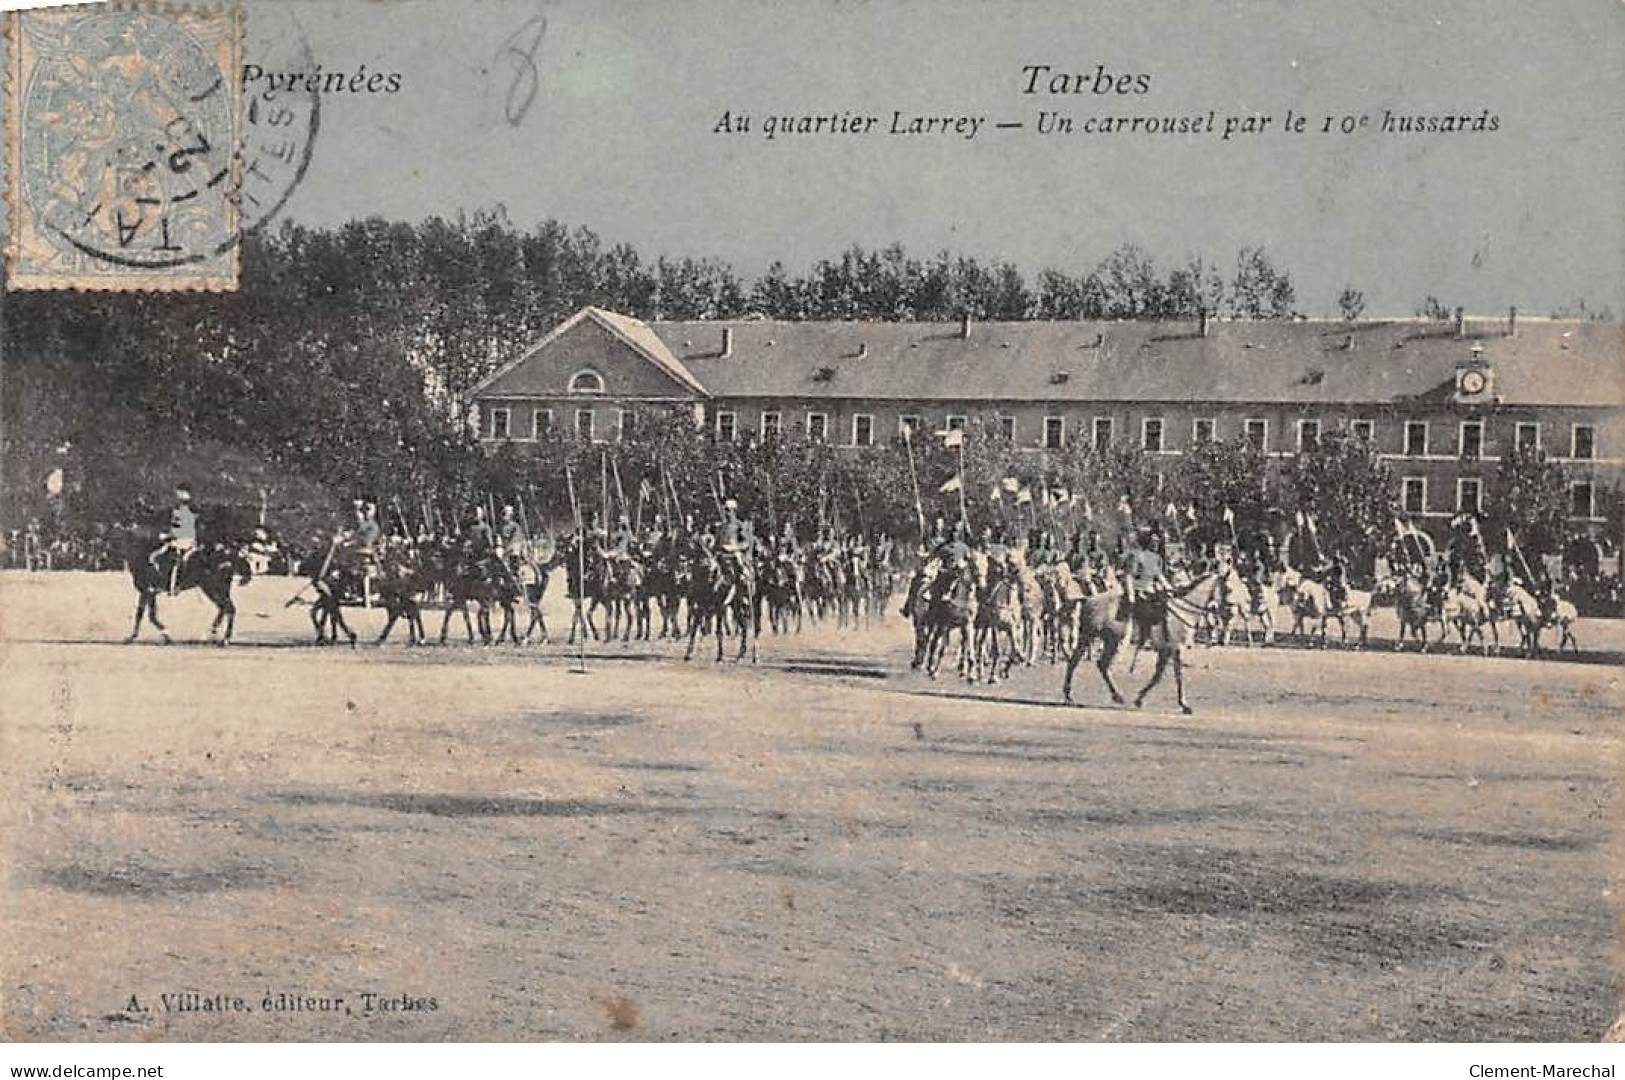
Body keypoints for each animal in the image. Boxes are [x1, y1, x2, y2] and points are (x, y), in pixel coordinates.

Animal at [121, 535, 250, 643]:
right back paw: (211, 633)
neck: (145, 556)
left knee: (229, 609)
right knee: (223, 609)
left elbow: (145, 615)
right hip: (214, 589)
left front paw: (164, 635)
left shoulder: (147, 591)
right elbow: (145, 615)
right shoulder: (149, 593)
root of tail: (229, 554)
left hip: (213, 588)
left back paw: (225, 639)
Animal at [1066, 571, 1222, 714]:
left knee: (1088, 663)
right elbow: (1178, 676)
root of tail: (1089, 600)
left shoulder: (1165, 650)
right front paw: (1184, 705)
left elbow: (1158, 676)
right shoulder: (1176, 649)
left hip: (1100, 640)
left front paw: (1139, 699)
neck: (1183, 611)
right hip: (1103, 639)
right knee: (1090, 663)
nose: (1218, 613)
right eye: (1224, 587)